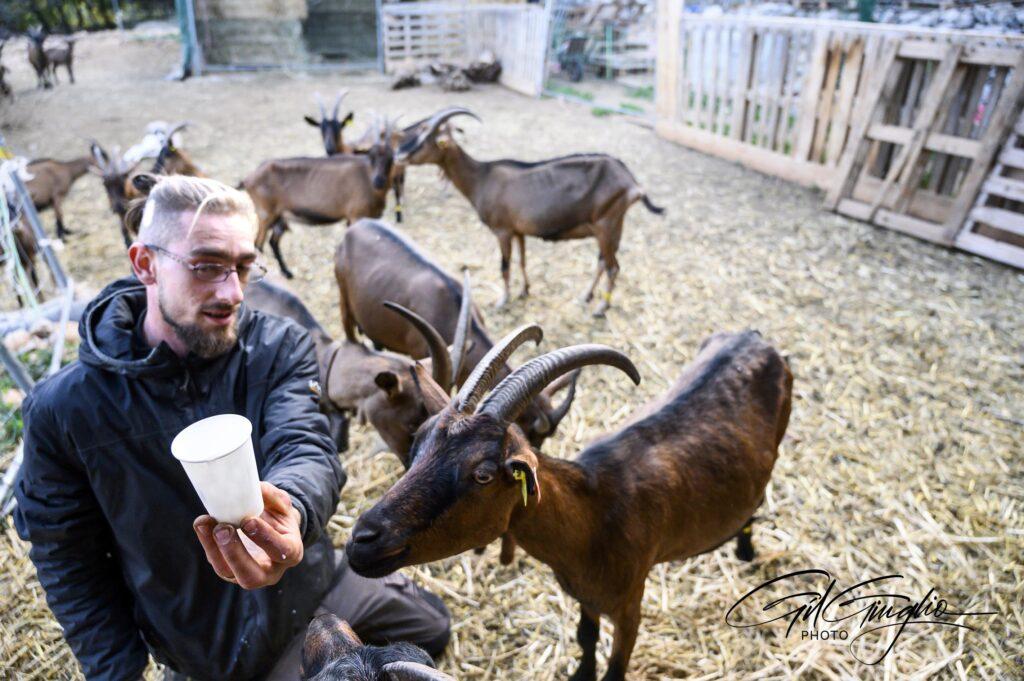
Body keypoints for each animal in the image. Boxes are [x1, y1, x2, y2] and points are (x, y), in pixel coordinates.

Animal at [241, 121, 397, 278]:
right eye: (371, 156)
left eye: (391, 158)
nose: (379, 181)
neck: (366, 175)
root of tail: (247, 179)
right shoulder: (356, 215)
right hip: (265, 215)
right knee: (258, 244)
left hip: (280, 217)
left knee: (273, 241)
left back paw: (287, 272)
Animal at [344, 327, 790, 675]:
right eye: (417, 443)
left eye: (483, 474)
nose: (361, 541)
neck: (594, 517)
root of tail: (754, 338)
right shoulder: (583, 596)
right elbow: (586, 636)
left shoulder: (630, 605)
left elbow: (616, 664)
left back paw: (746, 549)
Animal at [395, 107, 667, 317]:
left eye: (425, 140)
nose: (399, 155)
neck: (481, 178)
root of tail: (632, 183)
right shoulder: (519, 231)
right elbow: (522, 260)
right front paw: (525, 290)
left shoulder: (502, 231)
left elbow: (504, 266)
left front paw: (502, 301)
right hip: (612, 226)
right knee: (603, 262)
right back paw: (586, 296)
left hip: (607, 223)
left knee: (613, 267)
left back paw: (601, 308)